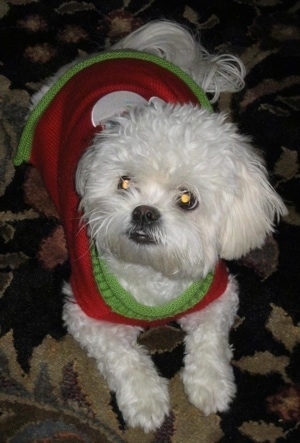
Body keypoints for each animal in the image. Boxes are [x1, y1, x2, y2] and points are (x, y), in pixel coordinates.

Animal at [15, 20, 288, 434]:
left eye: (187, 199)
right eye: (125, 182)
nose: (145, 213)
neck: (152, 274)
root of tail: (127, 53)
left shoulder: (219, 294)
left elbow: (210, 340)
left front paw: (210, 383)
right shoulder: (86, 313)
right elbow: (125, 358)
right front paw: (146, 399)